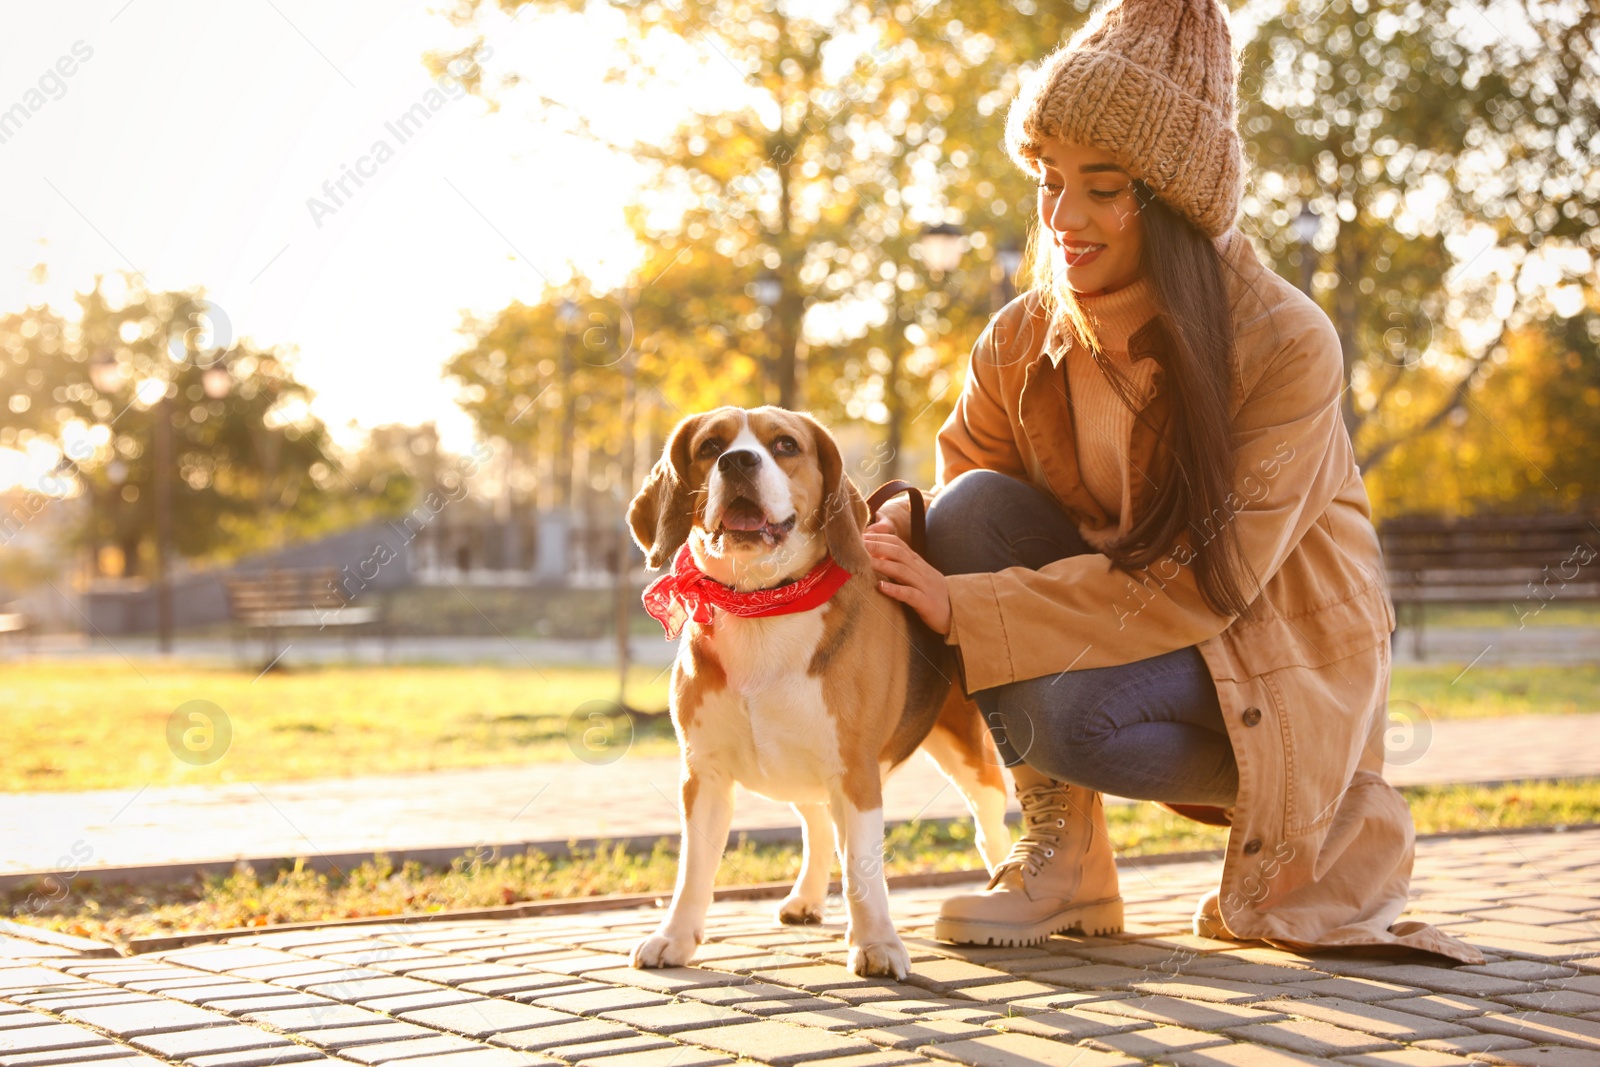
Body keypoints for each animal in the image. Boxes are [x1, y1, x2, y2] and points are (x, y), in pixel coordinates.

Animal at [620, 406, 1004, 979]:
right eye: (710, 446)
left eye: (785, 445)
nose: (737, 461)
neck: (763, 607)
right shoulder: (703, 773)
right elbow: (694, 866)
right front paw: (675, 938)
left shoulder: (857, 771)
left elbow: (864, 868)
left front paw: (876, 943)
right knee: (820, 824)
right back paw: (806, 898)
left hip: (967, 754)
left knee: (987, 826)